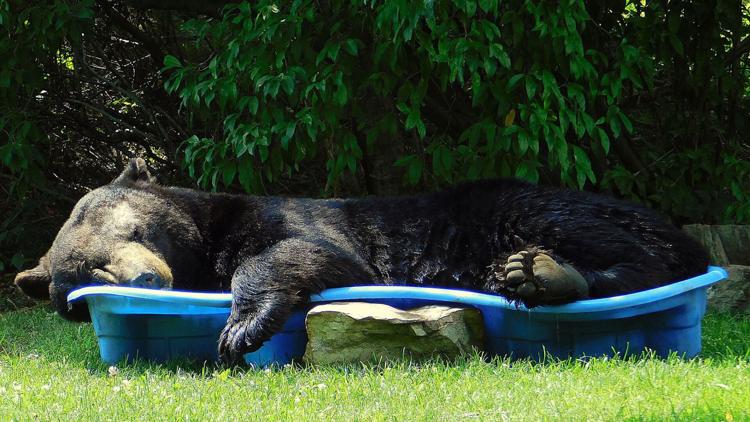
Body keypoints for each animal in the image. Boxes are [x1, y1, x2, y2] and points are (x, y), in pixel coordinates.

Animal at [15, 158, 709, 364]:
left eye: (133, 230)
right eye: (84, 276)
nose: (145, 277)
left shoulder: (286, 218)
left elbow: (311, 253)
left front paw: (242, 326)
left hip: (534, 206)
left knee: (627, 246)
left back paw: (542, 271)